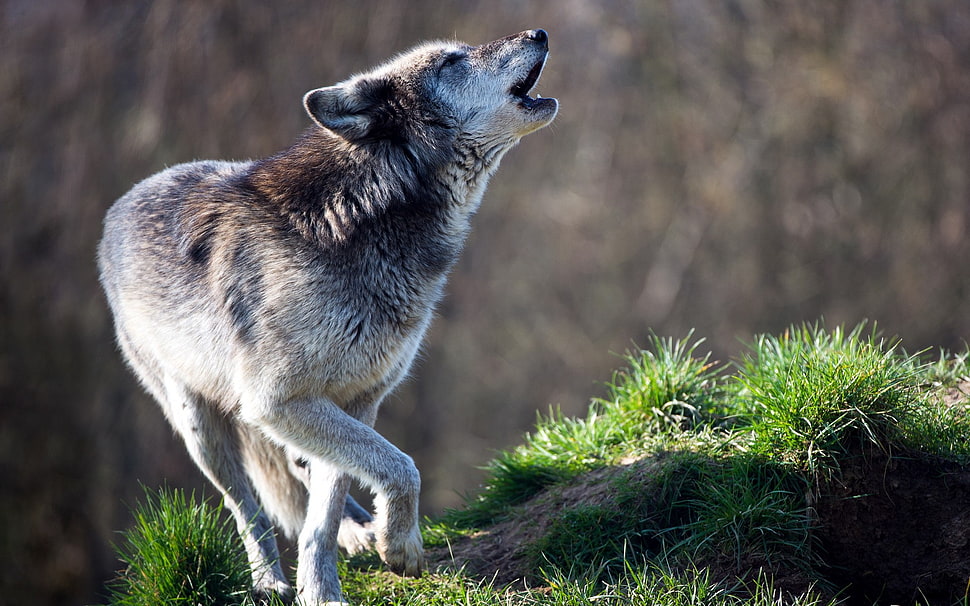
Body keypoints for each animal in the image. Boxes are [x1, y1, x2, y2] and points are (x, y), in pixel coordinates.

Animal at [97, 29, 556, 606]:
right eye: (451, 61)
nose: (538, 32)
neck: (364, 216)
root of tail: (119, 207)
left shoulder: (357, 399)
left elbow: (330, 504)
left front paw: (326, 584)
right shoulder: (277, 401)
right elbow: (402, 467)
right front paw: (397, 547)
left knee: (302, 470)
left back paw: (354, 533)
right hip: (200, 426)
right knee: (247, 507)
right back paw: (269, 581)